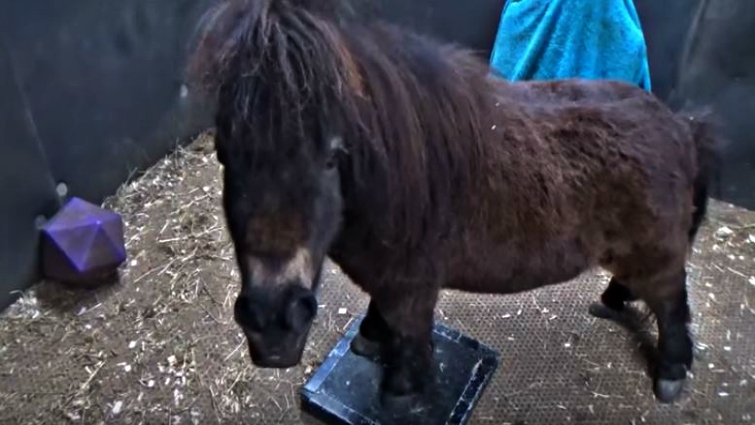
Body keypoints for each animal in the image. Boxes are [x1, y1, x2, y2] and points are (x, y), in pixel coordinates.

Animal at [187, 0, 720, 404]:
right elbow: (384, 317)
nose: (273, 326)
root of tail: (680, 129)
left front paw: (402, 391)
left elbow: (409, 334)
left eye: (333, 155)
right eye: (224, 152)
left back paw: (671, 372)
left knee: (672, 304)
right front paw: (369, 342)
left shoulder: (412, 284)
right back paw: (612, 302)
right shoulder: (393, 279)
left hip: (658, 258)